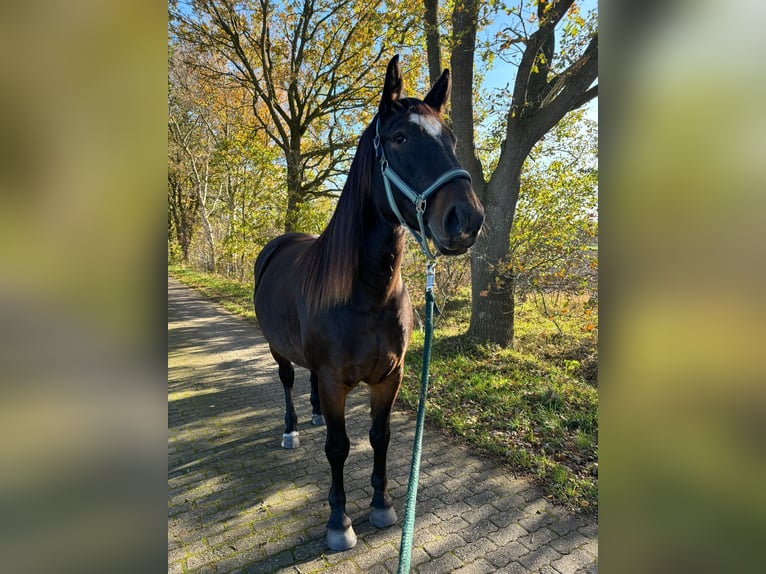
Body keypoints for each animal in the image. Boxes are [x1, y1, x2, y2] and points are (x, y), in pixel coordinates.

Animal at [255, 55, 484, 552]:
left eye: (452, 139)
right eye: (399, 139)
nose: (467, 219)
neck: (367, 297)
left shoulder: (389, 377)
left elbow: (380, 437)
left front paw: (381, 505)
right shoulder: (335, 381)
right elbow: (339, 448)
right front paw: (339, 522)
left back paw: (314, 416)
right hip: (278, 349)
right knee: (288, 380)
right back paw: (292, 429)